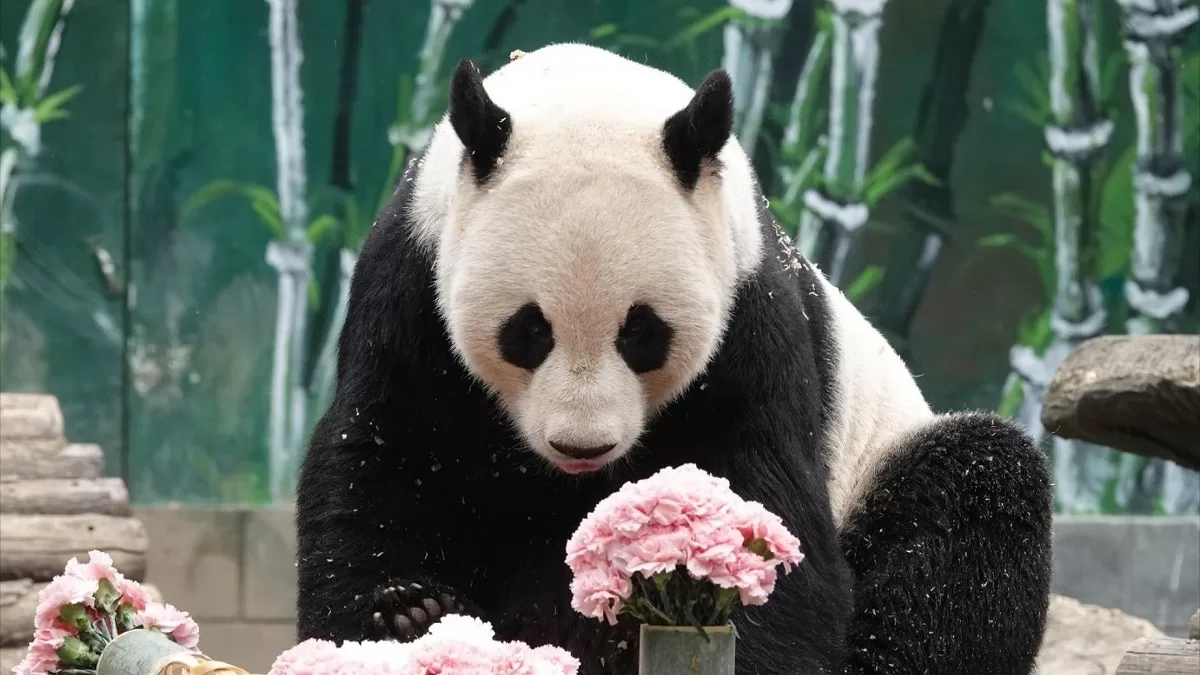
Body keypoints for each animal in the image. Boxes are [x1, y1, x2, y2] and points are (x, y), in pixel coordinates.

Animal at [295, 43, 1053, 675]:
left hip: (883, 462)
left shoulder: (749, 319)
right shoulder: (411, 289)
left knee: (973, 503)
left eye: (642, 333)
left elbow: (762, 509)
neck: (585, 90)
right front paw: (404, 611)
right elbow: (381, 465)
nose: (582, 445)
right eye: (529, 331)